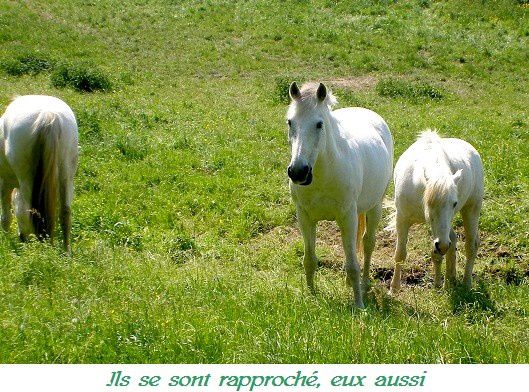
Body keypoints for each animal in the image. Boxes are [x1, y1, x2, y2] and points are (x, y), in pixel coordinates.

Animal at [0, 96, 78, 253]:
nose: (22, 237)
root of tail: (48, 115)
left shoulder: (5, 180)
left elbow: (5, 216)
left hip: (27, 181)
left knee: (34, 212)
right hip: (66, 177)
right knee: (65, 212)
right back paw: (66, 252)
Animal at [284, 82, 392, 310]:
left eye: (319, 124)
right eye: (290, 122)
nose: (298, 172)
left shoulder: (347, 217)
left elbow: (353, 264)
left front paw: (359, 306)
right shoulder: (304, 217)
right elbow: (309, 260)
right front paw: (311, 295)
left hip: (374, 207)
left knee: (368, 243)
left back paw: (365, 282)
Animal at [388, 130, 482, 292]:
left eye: (454, 203)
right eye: (429, 203)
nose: (442, 244)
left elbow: (437, 253)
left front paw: (438, 285)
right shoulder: (402, 219)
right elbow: (400, 254)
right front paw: (394, 289)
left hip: (471, 210)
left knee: (470, 245)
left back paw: (466, 283)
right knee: (453, 240)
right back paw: (450, 279)